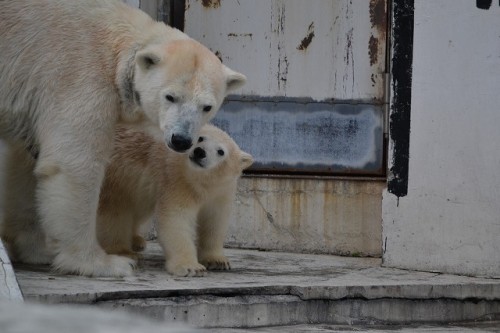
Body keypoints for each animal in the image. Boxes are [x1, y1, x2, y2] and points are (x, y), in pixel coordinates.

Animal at [0, 0, 246, 274]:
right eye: (170, 96)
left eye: (207, 106)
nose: (181, 140)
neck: (118, 51)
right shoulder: (79, 77)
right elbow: (75, 164)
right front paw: (101, 262)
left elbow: (25, 162)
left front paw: (36, 250)